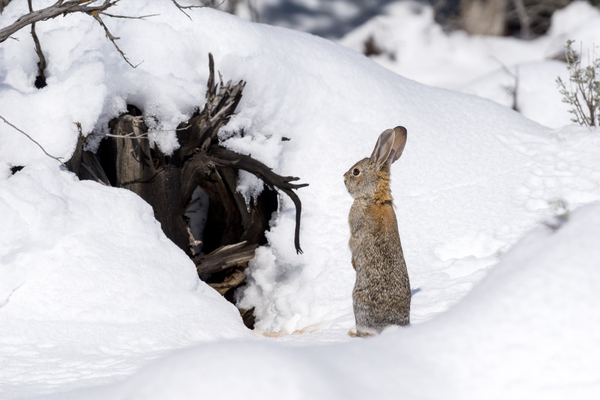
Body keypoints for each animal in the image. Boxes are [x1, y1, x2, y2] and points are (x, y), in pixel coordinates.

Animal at [344, 126, 410, 338]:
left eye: (356, 171)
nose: (344, 177)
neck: (373, 198)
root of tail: (389, 329)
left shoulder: (354, 231)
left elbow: (352, 245)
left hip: (357, 300)